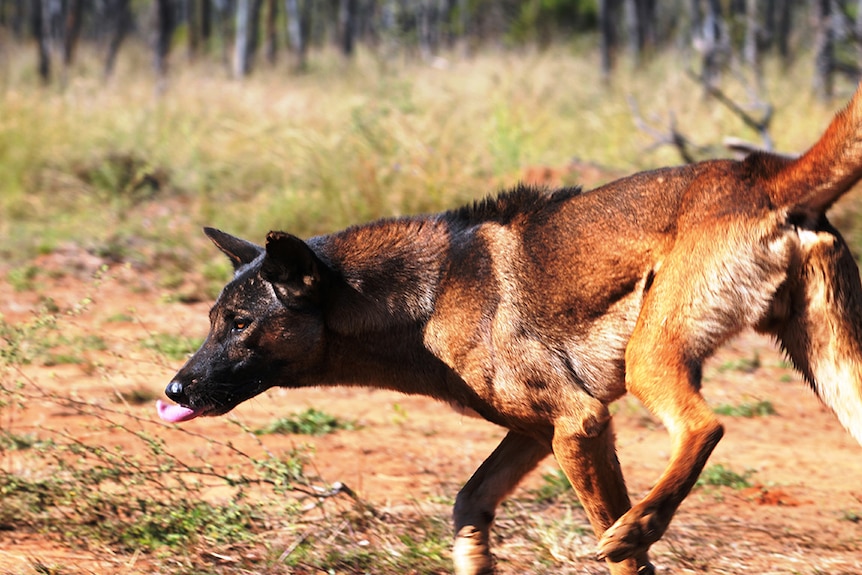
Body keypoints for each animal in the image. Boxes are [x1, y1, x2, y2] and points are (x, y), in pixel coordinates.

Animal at [159, 85, 862, 575]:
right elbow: (468, 507)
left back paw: (640, 523)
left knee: (703, 428)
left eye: (241, 323)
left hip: (651, 359)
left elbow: (626, 561)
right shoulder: (538, 433)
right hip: (833, 374)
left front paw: (629, 539)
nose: (173, 391)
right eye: (212, 321)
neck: (427, 298)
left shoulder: (580, 423)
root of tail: (763, 171)